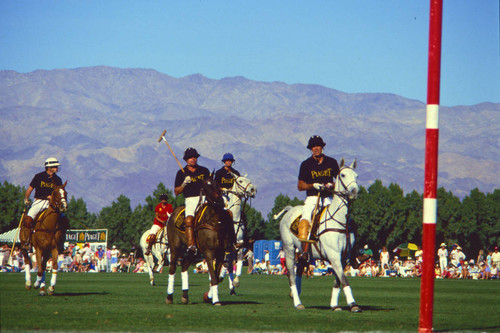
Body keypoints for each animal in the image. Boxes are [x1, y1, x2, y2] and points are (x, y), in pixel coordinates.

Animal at [165, 174, 233, 306]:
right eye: (206, 186)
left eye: (217, 184)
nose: (219, 201)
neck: (215, 221)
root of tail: (173, 213)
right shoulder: (209, 252)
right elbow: (213, 276)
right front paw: (215, 300)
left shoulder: (221, 252)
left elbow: (216, 276)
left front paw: (211, 297)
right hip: (174, 246)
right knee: (172, 269)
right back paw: (169, 297)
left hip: (194, 251)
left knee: (184, 265)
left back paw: (185, 296)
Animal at [278, 159, 360, 312]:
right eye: (343, 175)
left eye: (356, 176)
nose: (354, 191)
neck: (340, 222)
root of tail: (290, 209)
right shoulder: (334, 255)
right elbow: (344, 279)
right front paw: (353, 304)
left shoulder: (344, 257)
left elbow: (337, 280)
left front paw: (334, 305)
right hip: (289, 248)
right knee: (291, 274)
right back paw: (297, 302)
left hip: (303, 251)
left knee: (299, 270)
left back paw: (296, 295)